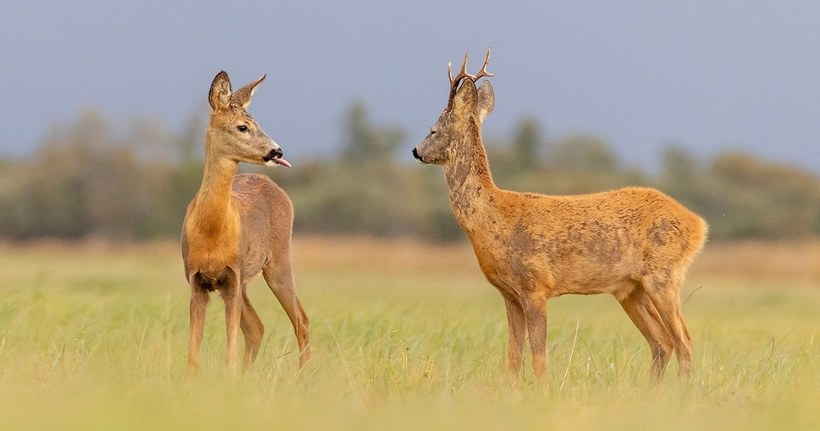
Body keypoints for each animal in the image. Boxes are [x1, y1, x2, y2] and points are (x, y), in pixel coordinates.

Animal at [183, 71, 310, 374]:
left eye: (258, 124)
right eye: (242, 127)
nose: (277, 151)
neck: (212, 234)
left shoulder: (232, 275)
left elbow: (230, 348)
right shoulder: (196, 280)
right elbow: (193, 353)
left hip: (278, 260)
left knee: (301, 320)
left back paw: (303, 378)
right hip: (246, 282)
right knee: (257, 327)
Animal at [414, 50, 708, 382]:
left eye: (433, 129)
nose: (416, 150)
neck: (493, 219)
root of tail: (698, 224)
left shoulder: (535, 286)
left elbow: (538, 357)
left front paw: (542, 389)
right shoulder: (509, 294)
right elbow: (513, 357)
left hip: (664, 275)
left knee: (683, 340)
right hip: (631, 289)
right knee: (662, 343)